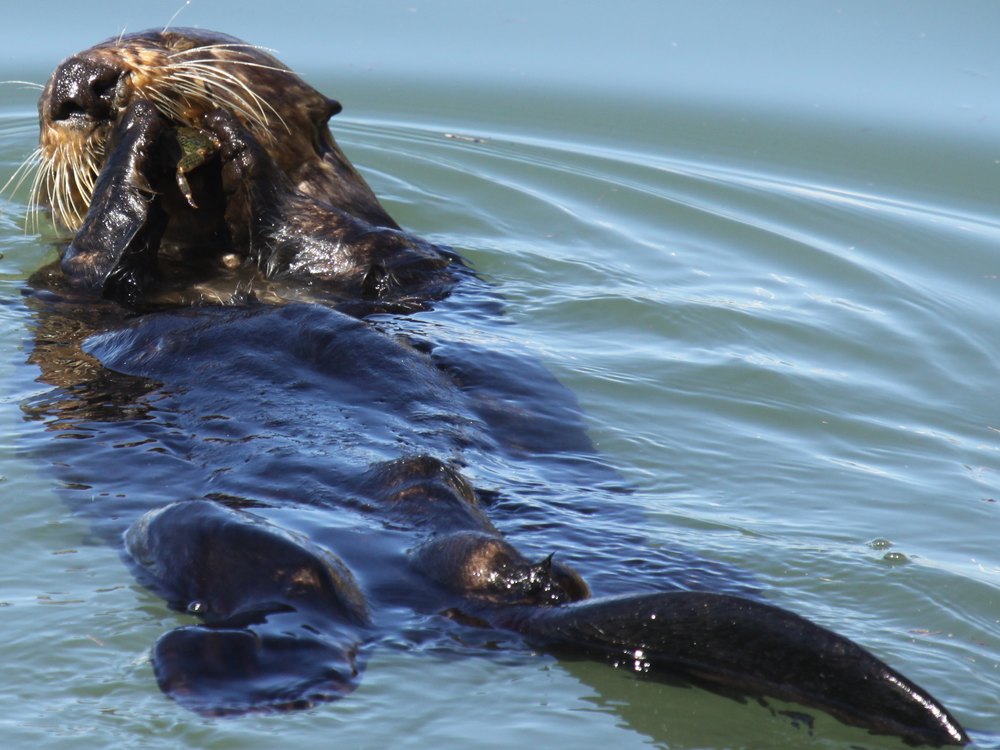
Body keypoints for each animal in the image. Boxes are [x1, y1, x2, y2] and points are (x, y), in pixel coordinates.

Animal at [17, 28, 968, 745]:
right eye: (56, 108)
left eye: (176, 43)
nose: (87, 87)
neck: (232, 268)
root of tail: (494, 591)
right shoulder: (66, 300)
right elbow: (91, 270)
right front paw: (142, 157)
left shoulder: (397, 265)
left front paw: (215, 143)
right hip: (202, 532)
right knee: (296, 599)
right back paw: (237, 673)